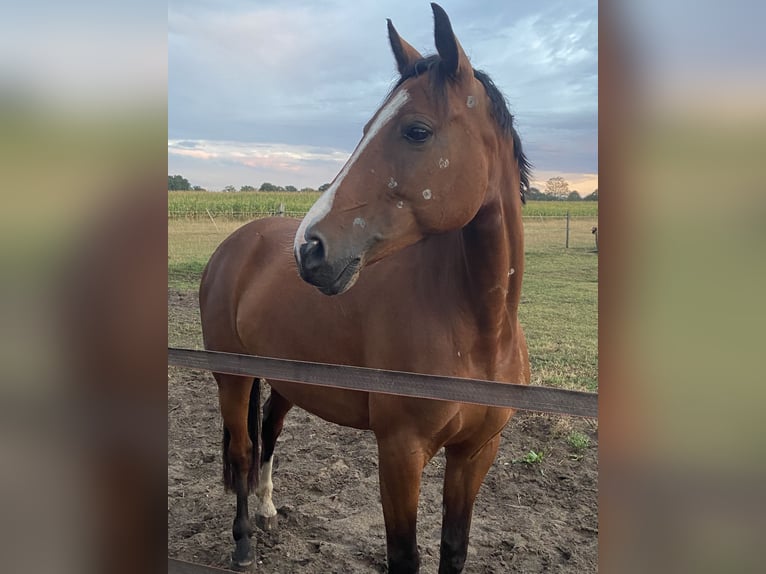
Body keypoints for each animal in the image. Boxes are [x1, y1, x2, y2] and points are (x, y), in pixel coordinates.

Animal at [199, 4, 531, 573]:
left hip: (285, 378)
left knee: (269, 432)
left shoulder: (476, 453)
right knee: (242, 451)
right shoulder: (399, 453)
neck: (480, 331)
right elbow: (404, 555)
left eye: (416, 130)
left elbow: (454, 547)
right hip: (231, 376)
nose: (308, 248)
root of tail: (236, 243)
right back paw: (243, 541)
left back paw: (267, 513)